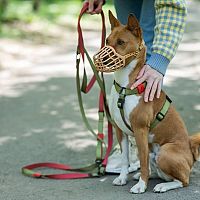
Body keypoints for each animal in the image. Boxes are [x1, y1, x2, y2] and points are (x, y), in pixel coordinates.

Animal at [98, 10, 200, 194]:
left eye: (121, 42)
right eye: (107, 41)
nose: (102, 61)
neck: (125, 87)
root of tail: (191, 151)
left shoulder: (140, 131)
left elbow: (143, 164)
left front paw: (141, 186)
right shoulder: (120, 131)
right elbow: (125, 160)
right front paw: (123, 178)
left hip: (164, 152)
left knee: (183, 180)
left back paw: (162, 185)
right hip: (151, 149)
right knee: (157, 169)